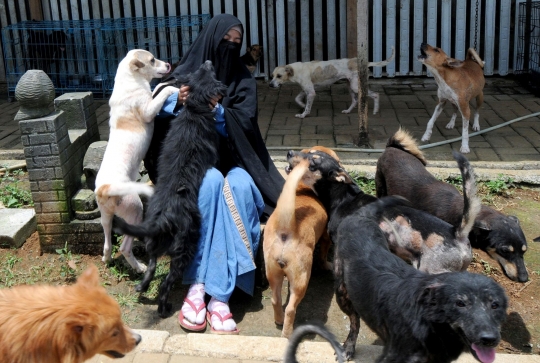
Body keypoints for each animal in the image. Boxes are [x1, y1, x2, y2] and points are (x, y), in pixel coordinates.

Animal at [93, 49, 177, 272]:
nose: (169, 65)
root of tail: (105, 188)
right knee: (124, 247)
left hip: (106, 217)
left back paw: (109, 259)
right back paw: (140, 267)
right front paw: (172, 87)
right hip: (136, 211)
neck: (130, 80)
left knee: (107, 242)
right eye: (152, 60)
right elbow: (162, 92)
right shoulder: (148, 110)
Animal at [262, 145, 338, 338]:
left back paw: (279, 320)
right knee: (290, 308)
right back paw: (287, 333)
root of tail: (286, 228)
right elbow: (323, 254)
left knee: (275, 300)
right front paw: (326, 265)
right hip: (301, 280)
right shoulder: (325, 237)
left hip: (272, 272)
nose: (289, 153)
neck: (302, 189)